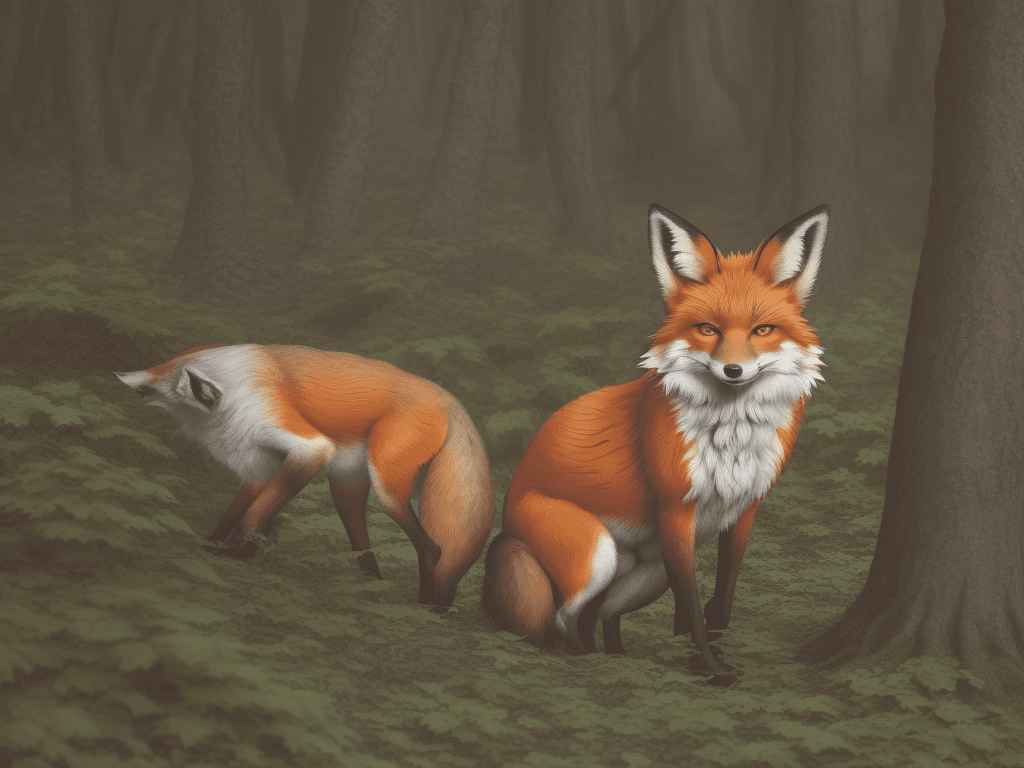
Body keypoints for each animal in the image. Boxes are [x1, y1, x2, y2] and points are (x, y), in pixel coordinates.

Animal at [115, 344, 494, 608]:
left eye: (149, 390)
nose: (131, 387)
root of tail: (446, 395)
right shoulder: (256, 467)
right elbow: (235, 514)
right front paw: (215, 547)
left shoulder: (308, 448)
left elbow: (253, 515)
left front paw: (238, 552)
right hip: (346, 486)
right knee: (366, 549)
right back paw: (373, 586)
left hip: (386, 489)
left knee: (434, 549)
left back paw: (429, 604)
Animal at [482, 203, 829, 680]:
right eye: (707, 329)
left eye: (762, 330)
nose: (733, 370)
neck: (732, 439)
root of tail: (508, 521)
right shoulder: (676, 511)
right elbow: (692, 610)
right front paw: (711, 669)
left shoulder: (744, 511)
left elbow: (722, 598)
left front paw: (713, 647)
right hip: (598, 555)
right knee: (563, 615)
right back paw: (583, 658)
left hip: (645, 574)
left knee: (601, 613)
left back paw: (615, 656)